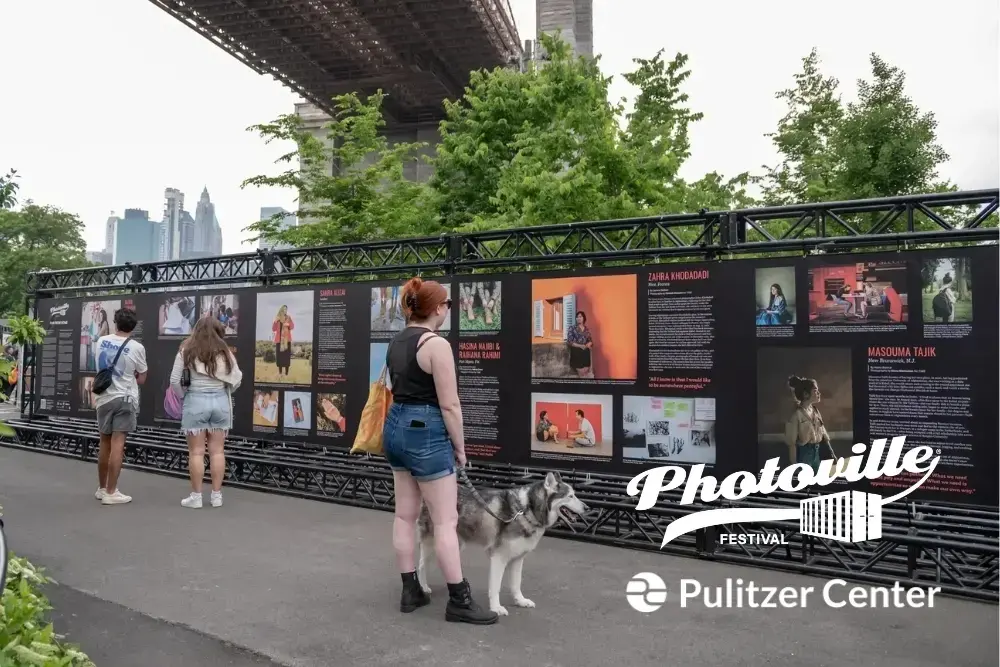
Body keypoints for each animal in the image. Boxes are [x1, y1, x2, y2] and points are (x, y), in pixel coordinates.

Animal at [416, 472, 588, 620]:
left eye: (575, 494)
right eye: (570, 496)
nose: (587, 508)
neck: (527, 510)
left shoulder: (518, 558)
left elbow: (516, 584)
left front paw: (520, 601)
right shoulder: (499, 558)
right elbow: (495, 587)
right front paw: (496, 608)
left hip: (454, 544)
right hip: (433, 545)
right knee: (421, 566)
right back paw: (423, 587)